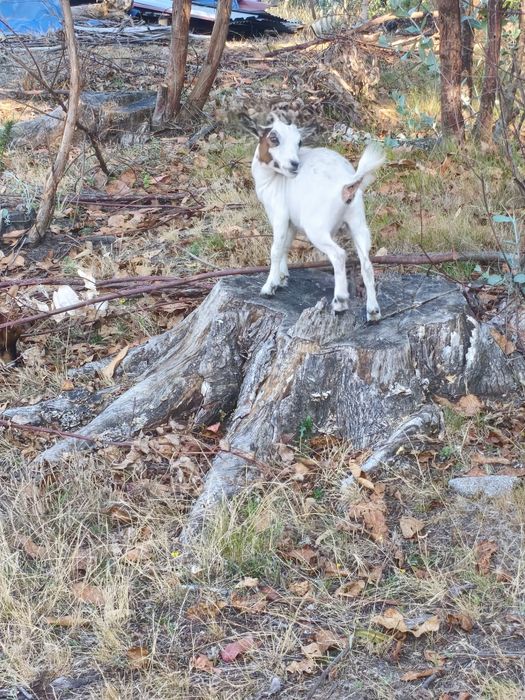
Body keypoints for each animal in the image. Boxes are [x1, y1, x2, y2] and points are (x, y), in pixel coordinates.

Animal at [242, 114, 385, 320]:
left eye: (299, 142)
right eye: (273, 138)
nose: (294, 164)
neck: (273, 180)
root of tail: (346, 183)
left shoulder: (279, 214)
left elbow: (276, 250)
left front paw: (269, 287)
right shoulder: (291, 223)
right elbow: (285, 246)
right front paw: (283, 278)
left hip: (316, 228)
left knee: (339, 255)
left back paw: (340, 302)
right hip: (358, 222)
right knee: (366, 264)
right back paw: (373, 312)